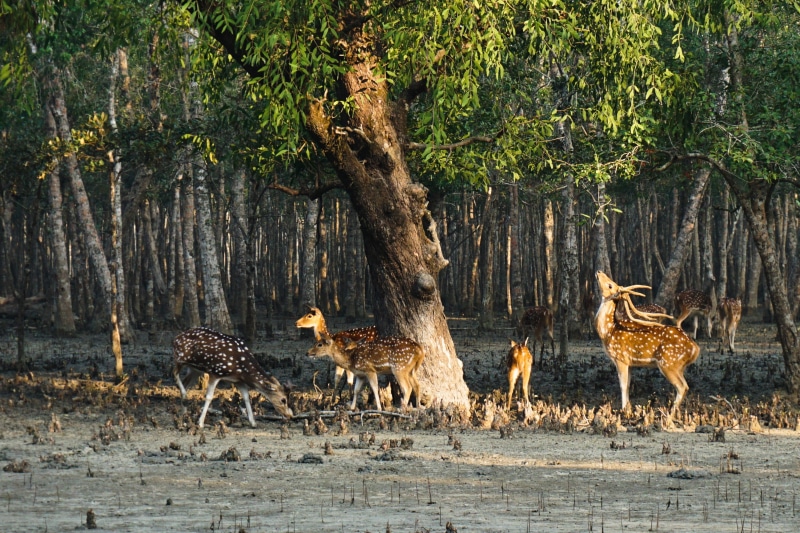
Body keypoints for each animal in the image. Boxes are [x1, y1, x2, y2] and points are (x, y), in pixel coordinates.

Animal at [594, 271, 700, 424]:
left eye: (610, 285)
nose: (599, 272)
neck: (608, 332)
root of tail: (695, 349)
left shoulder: (620, 358)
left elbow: (622, 385)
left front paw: (623, 412)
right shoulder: (630, 363)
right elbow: (628, 385)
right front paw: (629, 411)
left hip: (668, 363)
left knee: (682, 387)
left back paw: (668, 418)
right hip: (679, 366)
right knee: (685, 385)